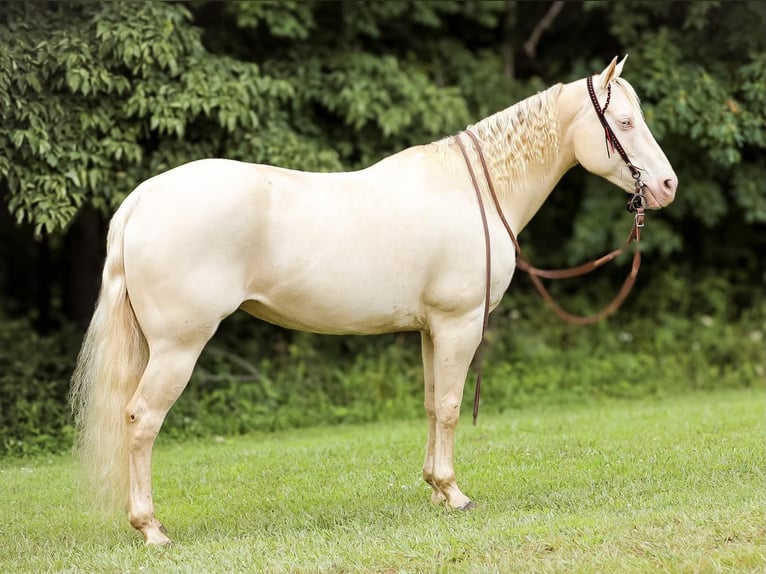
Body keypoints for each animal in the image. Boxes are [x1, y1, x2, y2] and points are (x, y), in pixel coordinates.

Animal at [71, 56, 677, 545]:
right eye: (625, 123)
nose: (667, 186)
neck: (473, 191)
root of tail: (143, 199)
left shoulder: (432, 330)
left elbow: (432, 405)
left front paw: (436, 490)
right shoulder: (459, 325)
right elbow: (452, 406)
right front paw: (456, 494)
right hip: (177, 349)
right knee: (142, 420)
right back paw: (151, 529)